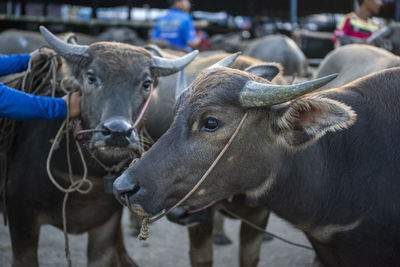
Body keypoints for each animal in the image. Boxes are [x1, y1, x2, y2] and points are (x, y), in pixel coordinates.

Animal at [2, 25, 197, 267]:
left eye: (146, 83)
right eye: (91, 77)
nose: (117, 132)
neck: (83, 181)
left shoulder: (105, 226)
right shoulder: (21, 221)